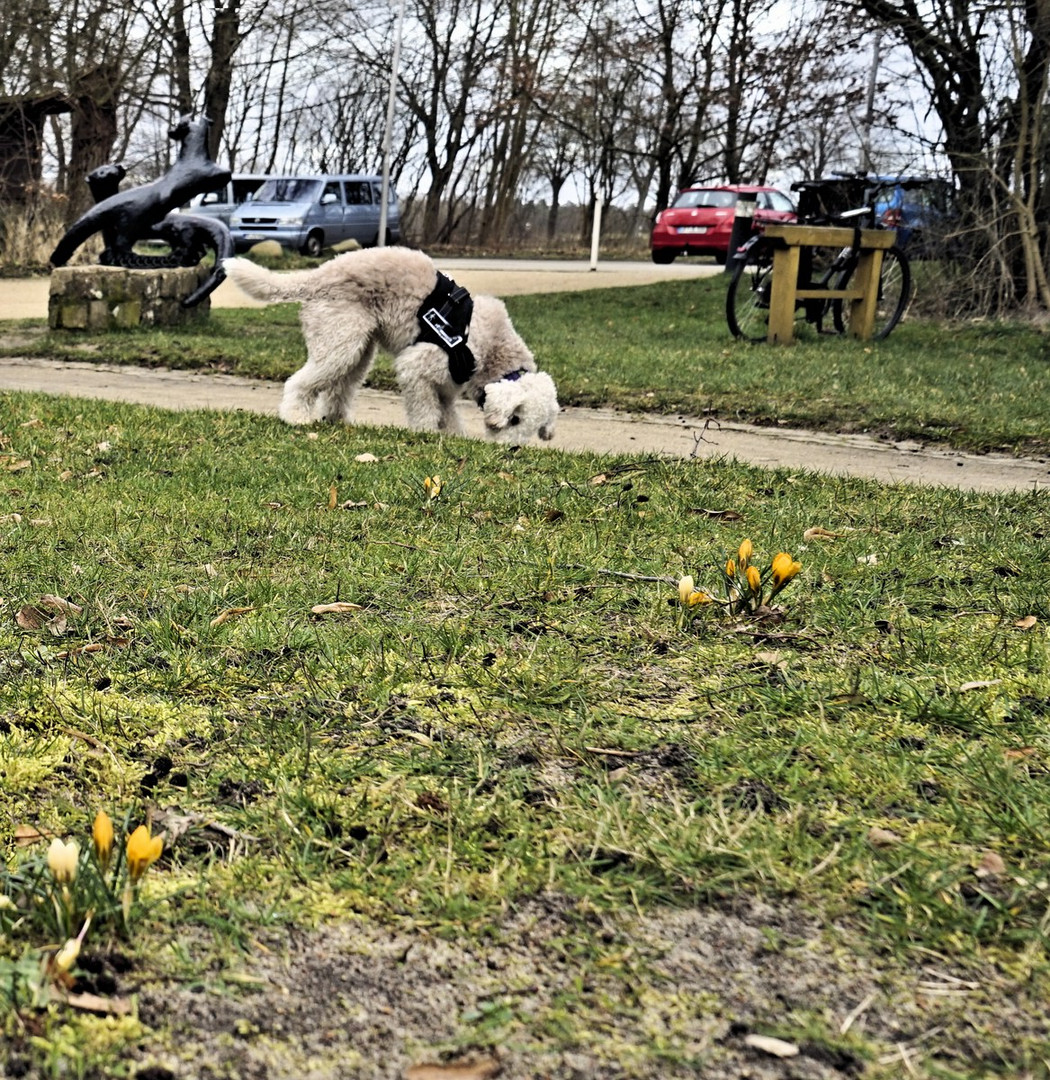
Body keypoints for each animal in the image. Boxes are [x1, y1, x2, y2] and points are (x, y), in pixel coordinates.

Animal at [223, 248, 557, 442]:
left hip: (357, 349)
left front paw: (453, 437)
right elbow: (425, 411)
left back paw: (337, 420)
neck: (491, 350)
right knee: (300, 383)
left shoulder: (446, 388)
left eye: (533, 428)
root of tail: (316, 276)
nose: (511, 450)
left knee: (339, 388)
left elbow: (448, 414)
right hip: (339, 343)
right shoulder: (417, 368)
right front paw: (426, 434)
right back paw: (295, 417)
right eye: (514, 418)